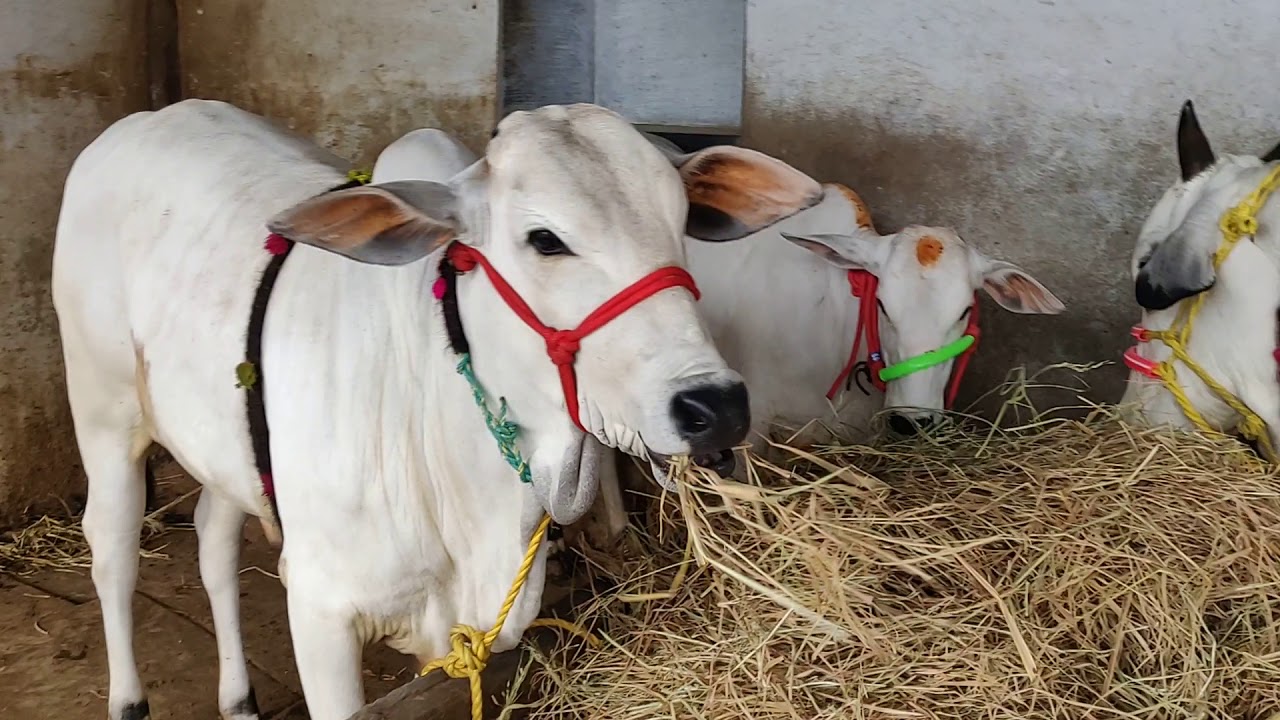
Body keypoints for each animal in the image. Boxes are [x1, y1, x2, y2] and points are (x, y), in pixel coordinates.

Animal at [52, 99, 826, 720]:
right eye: (545, 239)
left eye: (683, 221)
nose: (714, 406)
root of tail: (140, 122)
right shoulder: (321, 611)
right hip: (103, 411)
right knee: (112, 552)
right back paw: (129, 700)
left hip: (223, 442)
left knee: (214, 541)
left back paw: (239, 700)